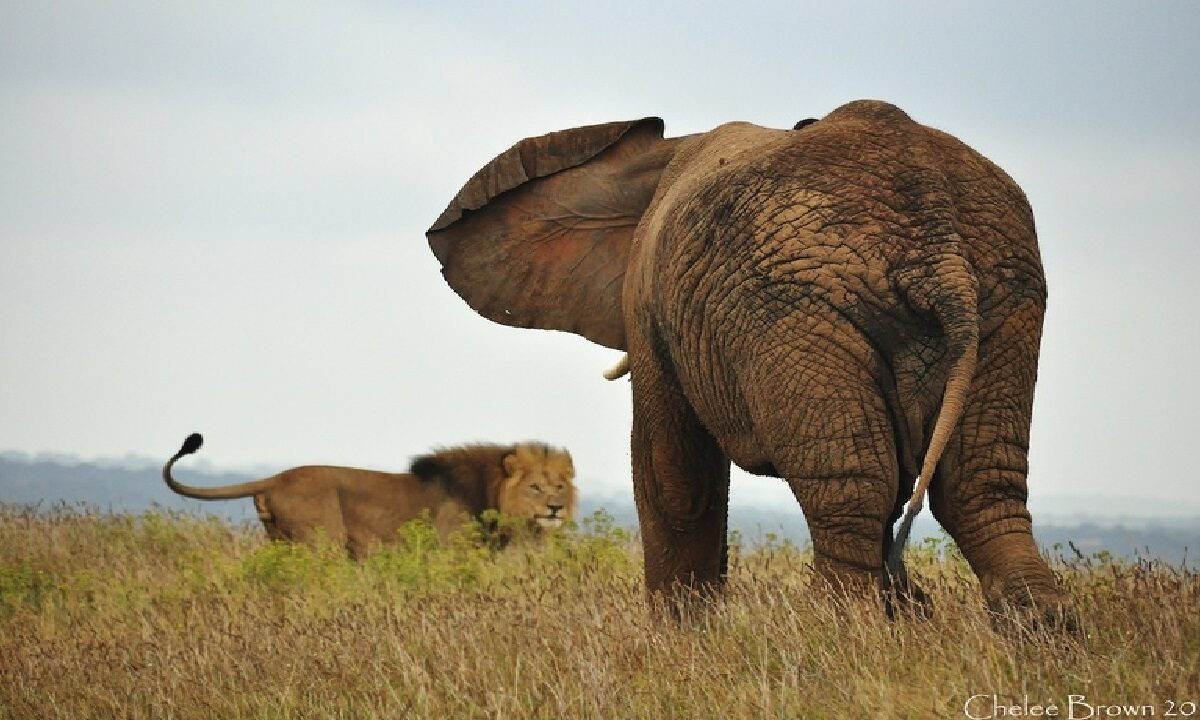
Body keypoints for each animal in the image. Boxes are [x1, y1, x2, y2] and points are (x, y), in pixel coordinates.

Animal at [159, 432, 576, 556]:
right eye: (535, 487)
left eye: (559, 486)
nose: (555, 508)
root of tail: (275, 479)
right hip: (321, 542)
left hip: (280, 540)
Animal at [422, 98, 1070, 619]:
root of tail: (936, 243)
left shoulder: (650, 302)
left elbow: (673, 471)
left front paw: (682, 640)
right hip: (1007, 294)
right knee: (980, 483)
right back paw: (1037, 632)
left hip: (797, 310)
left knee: (852, 487)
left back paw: (841, 635)